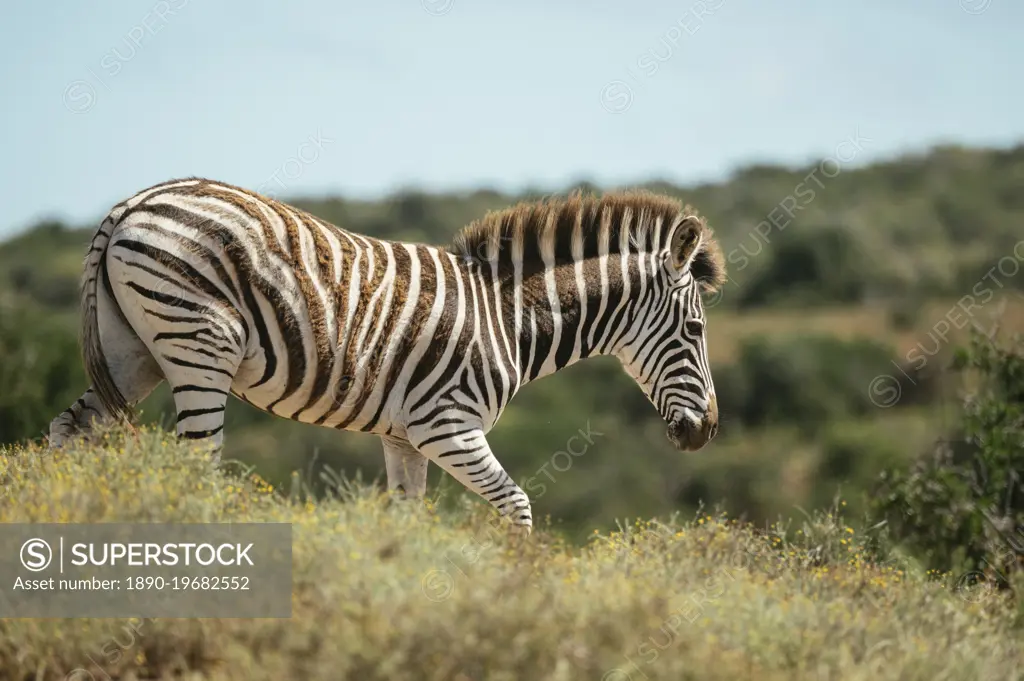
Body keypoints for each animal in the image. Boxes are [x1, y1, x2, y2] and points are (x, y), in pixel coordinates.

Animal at [49, 178, 729, 532]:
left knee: (69, 429)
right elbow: (517, 504)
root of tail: (132, 203)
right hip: (198, 348)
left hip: (133, 351)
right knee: (196, 466)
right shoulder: (445, 424)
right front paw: (519, 591)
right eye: (695, 330)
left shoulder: (404, 436)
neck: (508, 318)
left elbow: (408, 519)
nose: (706, 433)